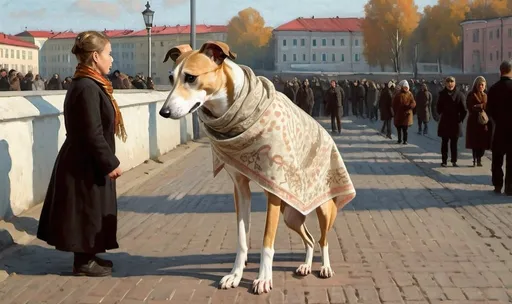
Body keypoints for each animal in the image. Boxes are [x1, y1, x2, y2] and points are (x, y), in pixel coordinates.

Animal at [160, 41, 356, 294]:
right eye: (170, 77)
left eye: (191, 77)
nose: (163, 112)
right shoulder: (241, 189)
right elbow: (242, 239)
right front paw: (235, 275)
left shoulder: (274, 189)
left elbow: (267, 241)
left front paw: (263, 279)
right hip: (292, 214)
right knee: (310, 239)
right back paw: (305, 266)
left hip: (323, 208)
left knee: (323, 240)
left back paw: (325, 267)